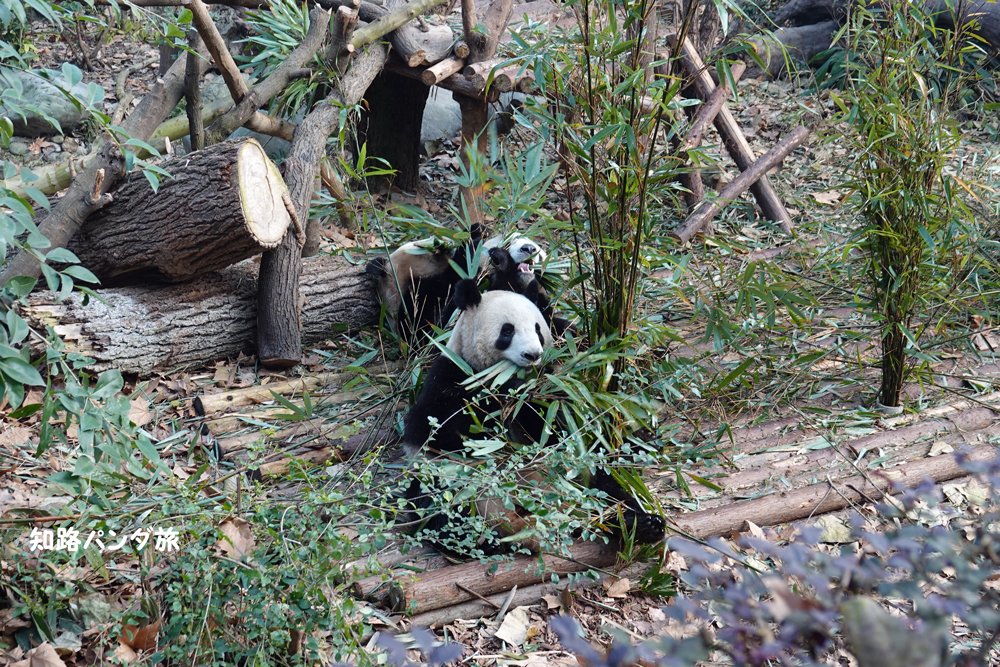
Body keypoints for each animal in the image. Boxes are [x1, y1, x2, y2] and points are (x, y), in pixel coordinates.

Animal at [403, 278, 664, 556]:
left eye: (538, 329)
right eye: (507, 331)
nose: (532, 355)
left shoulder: (552, 387)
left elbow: (557, 426)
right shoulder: (451, 376)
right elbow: (442, 431)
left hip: (572, 475)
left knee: (606, 488)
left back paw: (641, 523)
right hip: (456, 482)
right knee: (441, 509)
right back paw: (483, 541)